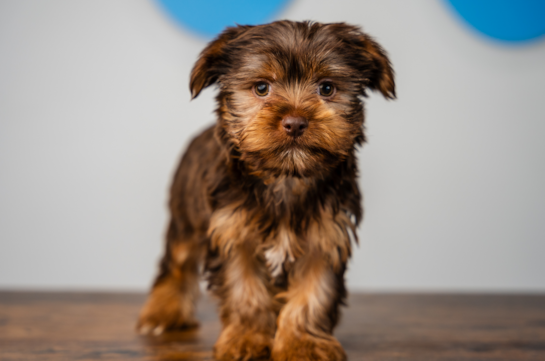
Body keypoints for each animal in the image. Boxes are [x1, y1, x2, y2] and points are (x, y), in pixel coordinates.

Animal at [138, 20, 394, 360]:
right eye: (261, 88)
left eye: (327, 88)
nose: (295, 122)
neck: (285, 177)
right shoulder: (233, 235)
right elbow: (244, 290)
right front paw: (246, 338)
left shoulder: (325, 237)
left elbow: (314, 293)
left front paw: (302, 342)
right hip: (185, 215)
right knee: (176, 262)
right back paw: (163, 313)